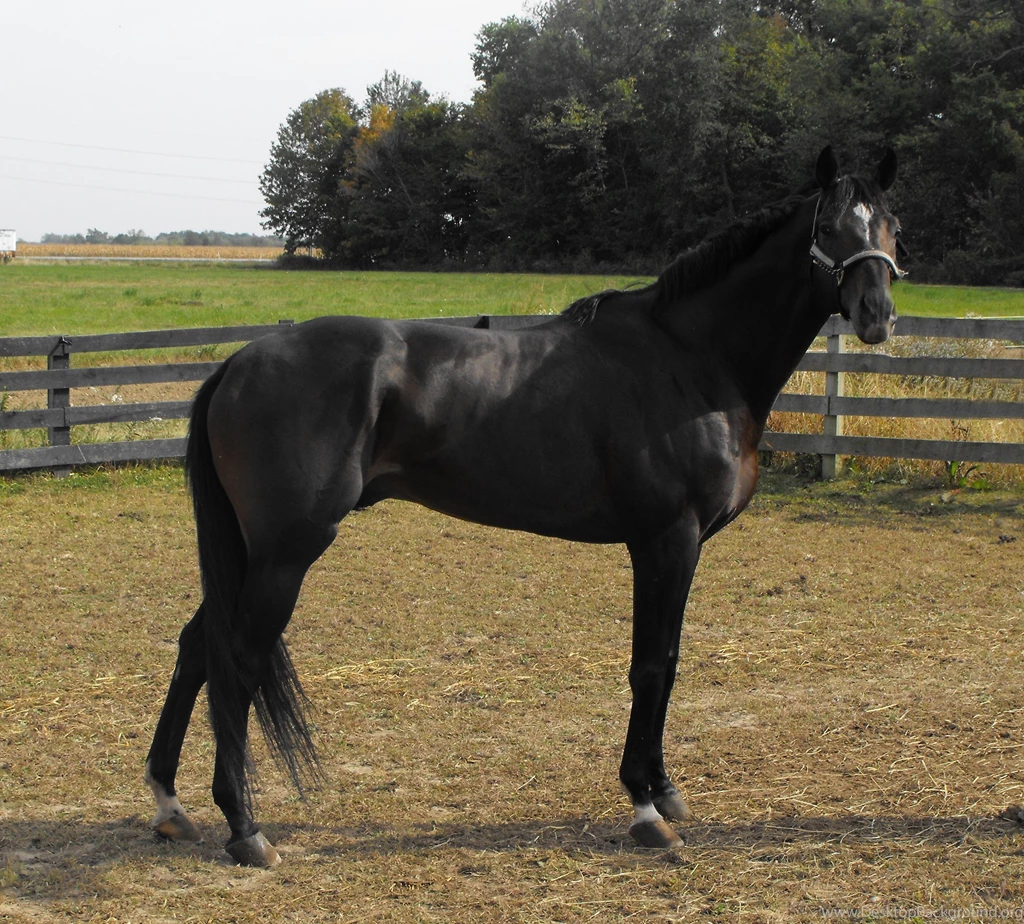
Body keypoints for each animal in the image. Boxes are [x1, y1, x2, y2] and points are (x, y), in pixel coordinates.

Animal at [143, 146, 905, 867]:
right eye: (829, 228)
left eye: (891, 226)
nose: (876, 315)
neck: (689, 360)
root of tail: (239, 362)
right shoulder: (666, 538)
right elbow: (651, 664)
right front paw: (644, 807)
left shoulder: (678, 545)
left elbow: (669, 661)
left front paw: (664, 789)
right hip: (286, 550)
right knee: (238, 656)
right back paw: (245, 829)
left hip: (256, 551)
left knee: (198, 646)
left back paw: (170, 803)